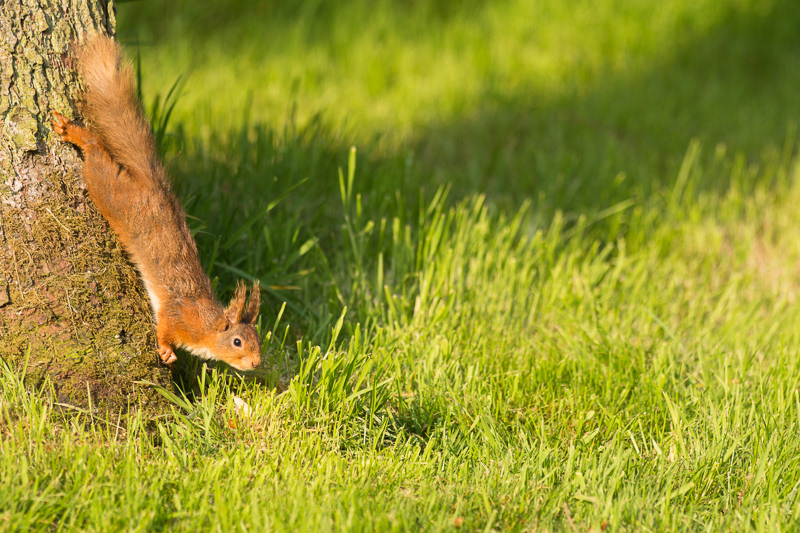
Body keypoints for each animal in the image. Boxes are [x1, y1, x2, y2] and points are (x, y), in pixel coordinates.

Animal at [51, 36, 262, 371]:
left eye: (260, 341)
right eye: (237, 341)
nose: (256, 364)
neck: (208, 325)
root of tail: (153, 184)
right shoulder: (178, 317)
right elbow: (164, 327)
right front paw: (166, 351)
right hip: (111, 193)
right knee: (96, 153)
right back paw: (76, 134)